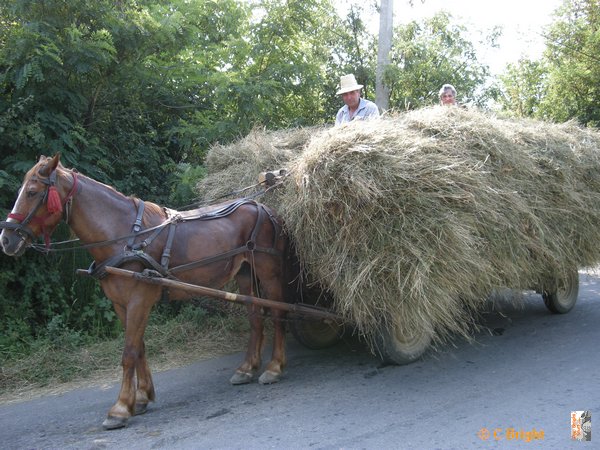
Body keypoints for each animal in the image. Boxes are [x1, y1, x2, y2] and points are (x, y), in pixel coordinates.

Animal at [0, 155, 290, 428]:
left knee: (278, 315)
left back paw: (274, 367)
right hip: (245, 275)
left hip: (269, 271)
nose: (6, 239)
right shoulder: (121, 303)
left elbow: (128, 353)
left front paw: (119, 409)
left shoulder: (140, 299)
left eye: (32, 192)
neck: (124, 237)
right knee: (255, 317)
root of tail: (263, 206)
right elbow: (139, 348)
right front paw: (140, 397)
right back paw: (247, 368)